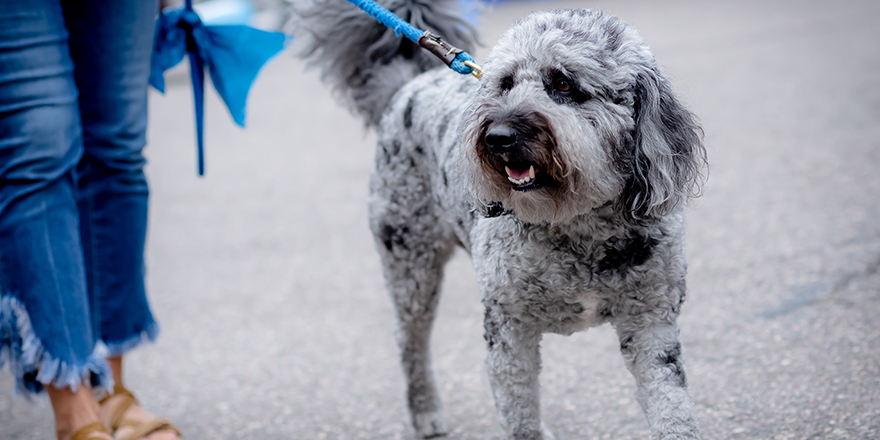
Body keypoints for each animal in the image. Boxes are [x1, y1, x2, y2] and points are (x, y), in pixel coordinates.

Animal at [294, 1, 708, 438]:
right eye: (505, 83)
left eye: (564, 84)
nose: (498, 136)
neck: (577, 225)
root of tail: (411, 83)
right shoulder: (508, 329)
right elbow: (519, 415)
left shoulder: (652, 323)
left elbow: (672, 409)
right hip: (410, 262)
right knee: (410, 340)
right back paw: (425, 412)